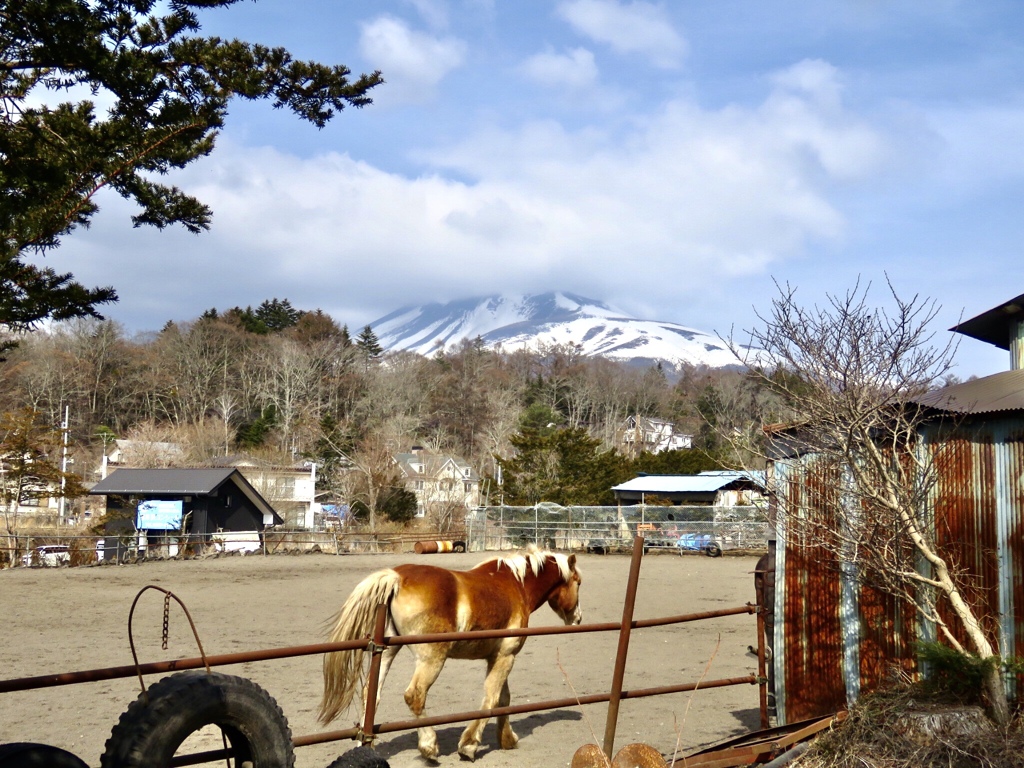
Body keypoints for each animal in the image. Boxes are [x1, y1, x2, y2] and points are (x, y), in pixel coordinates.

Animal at [315, 548, 585, 761]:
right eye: (578, 582)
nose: (578, 618)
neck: (516, 585)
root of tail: (397, 577)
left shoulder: (497, 657)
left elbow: (503, 699)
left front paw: (507, 739)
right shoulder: (506, 656)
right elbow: (491, 699)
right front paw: (469, 745)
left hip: (388, 651)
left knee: (371, 693)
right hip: (432, 659)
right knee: (415, 695)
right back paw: (429, 746)